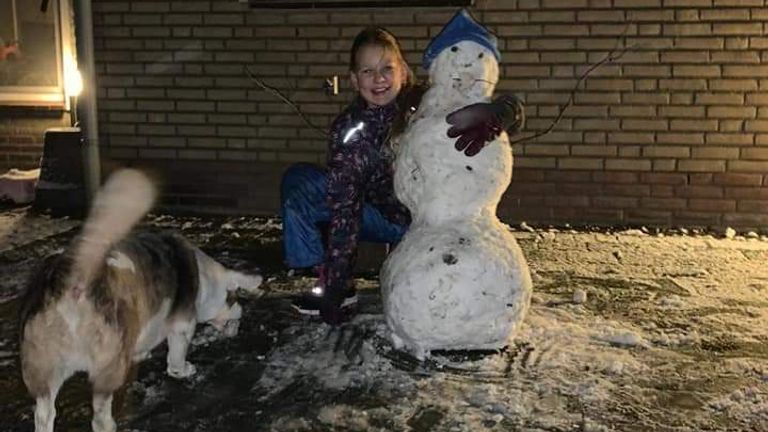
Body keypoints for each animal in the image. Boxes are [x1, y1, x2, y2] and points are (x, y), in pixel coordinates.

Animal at [18, 169, 264, 432]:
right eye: (234, 298)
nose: (238, 321)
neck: (206, 277)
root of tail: (76, 276)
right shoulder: (182, 326)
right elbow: (175, 360)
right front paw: (184, 369)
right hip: (106, 367)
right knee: (99, 415)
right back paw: (110, 424)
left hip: (43, 368)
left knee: (44, 413)